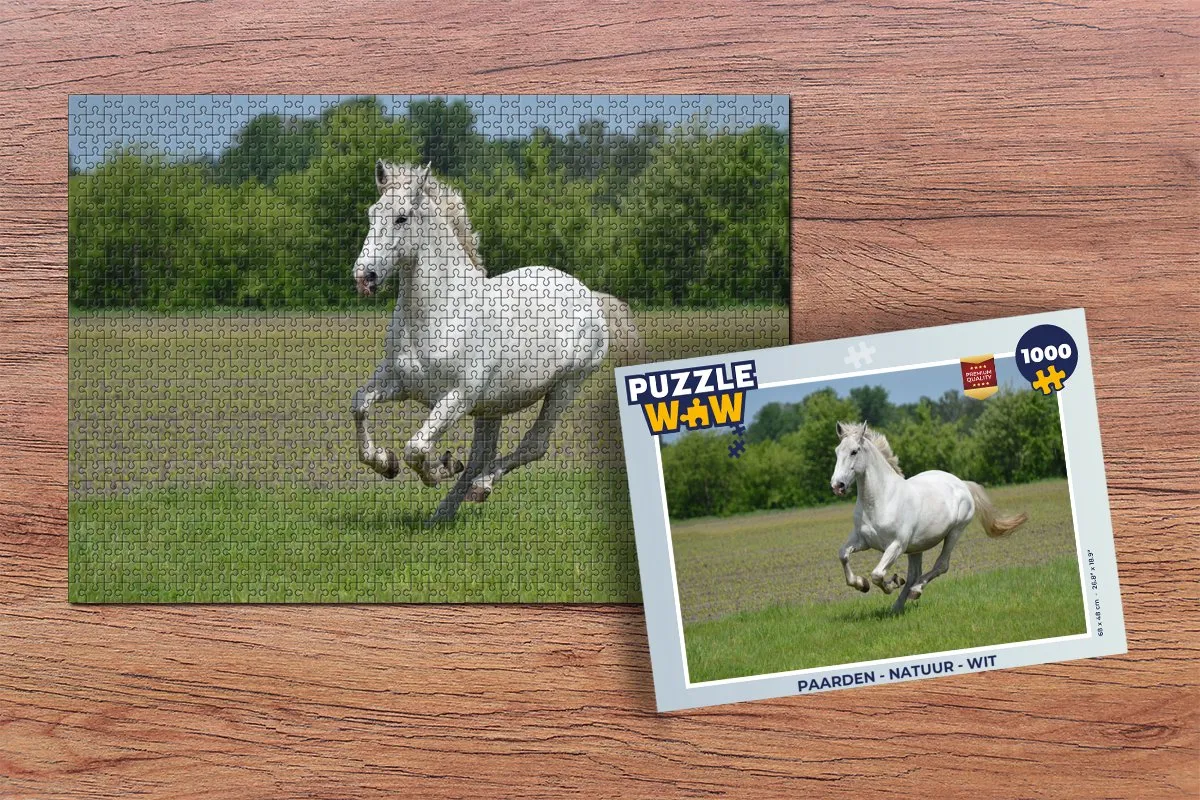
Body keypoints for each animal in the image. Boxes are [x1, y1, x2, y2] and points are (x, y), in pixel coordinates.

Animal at [350, 160, 643, 524]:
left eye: (401, 218)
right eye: (372, 213)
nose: (364, 277)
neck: (440, 312)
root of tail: (590, 295)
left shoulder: (458, 397)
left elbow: (416, 448)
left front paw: (438, 469)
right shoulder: (398, 382)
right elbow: (359, 404)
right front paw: (385, 462)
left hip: (565, 388)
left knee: (533, 445)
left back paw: (480, 486)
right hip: (493, 406)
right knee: (482, 453)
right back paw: (442, 514)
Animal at [829, 421, 1028, 613]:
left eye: (854, 451)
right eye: (837, 451)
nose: (837, 485)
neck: (881, 500)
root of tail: (962, 483)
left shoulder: (896, 545)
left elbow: (877, 575)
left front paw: (891, 583)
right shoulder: (862, 540)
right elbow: (843, 555)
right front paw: (862, 584)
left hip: (954, 532)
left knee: (940, 566)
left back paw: (915, 591)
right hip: (916, 548)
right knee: (913, 575)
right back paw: (897, 606)